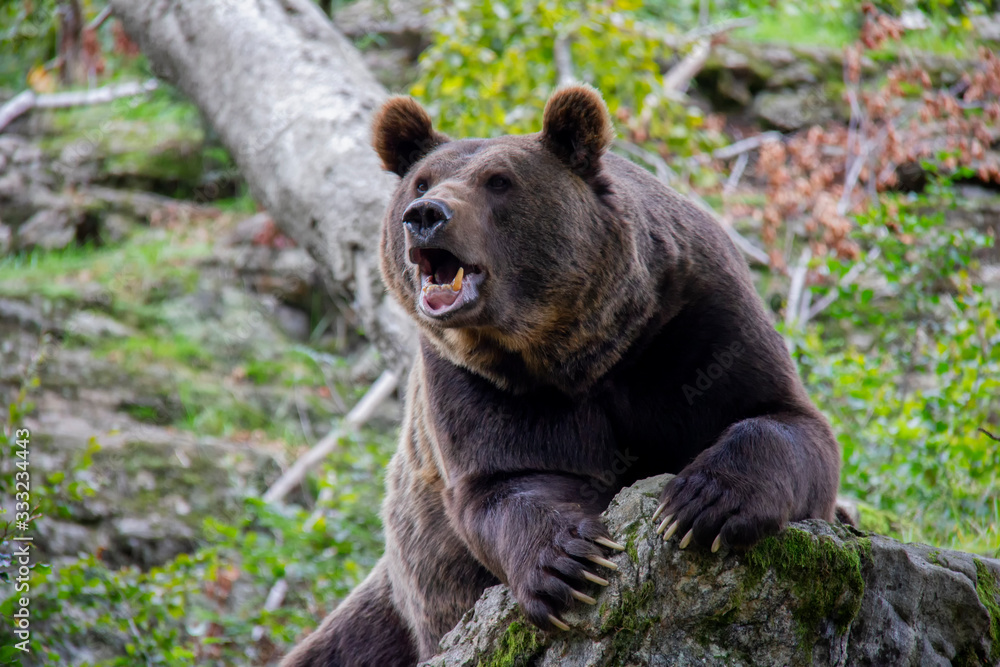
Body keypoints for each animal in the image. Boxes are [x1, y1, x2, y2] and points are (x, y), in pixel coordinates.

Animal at [281, 85, 841, 667]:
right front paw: (568, 563)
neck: (578, 346)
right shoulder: (477, 378)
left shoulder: (693, 319)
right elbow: (508, 479)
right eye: (422, 181)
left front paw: (700, 503)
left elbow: (780, 417)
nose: (425, 214)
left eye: (498, 181)